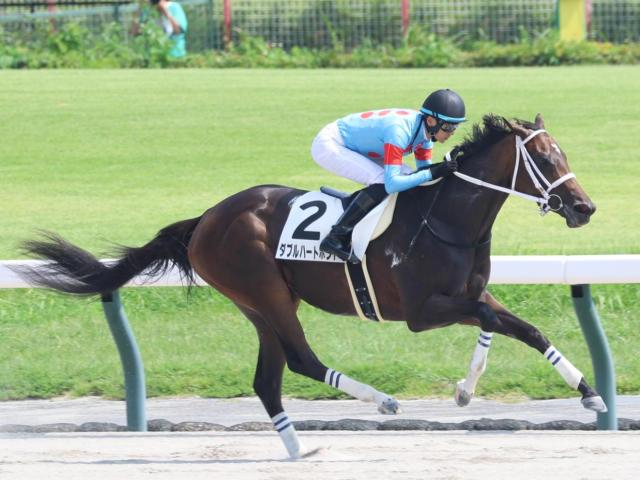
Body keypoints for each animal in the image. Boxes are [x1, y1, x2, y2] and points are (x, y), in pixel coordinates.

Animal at [16, 115, 600, 458]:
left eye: (564, 154)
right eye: (544, 158)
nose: (585, 207)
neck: (448, 218)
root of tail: (205, 219)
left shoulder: (470, 292)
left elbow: (522, 327)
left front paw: (587, 392)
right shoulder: (421, 310)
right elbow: (491, 320)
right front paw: (466, 388)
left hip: (260, 303)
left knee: (268, 378)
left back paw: (299, 448)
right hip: (265, 293)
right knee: (300, 359)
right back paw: (381, 402)